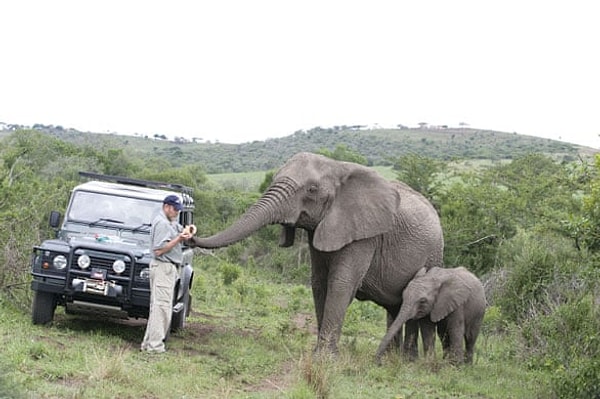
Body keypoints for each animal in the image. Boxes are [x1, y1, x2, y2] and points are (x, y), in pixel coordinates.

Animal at [190, 153, 442, 356]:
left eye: (312, 189)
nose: (190, 233)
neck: (338, 167)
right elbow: (319, 282)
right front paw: (318, 353)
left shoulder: (365, 234)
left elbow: (340, 283)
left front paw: (325, 359)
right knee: (395, 309)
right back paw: (392, 358)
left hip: (433, 255)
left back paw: (407, 360)